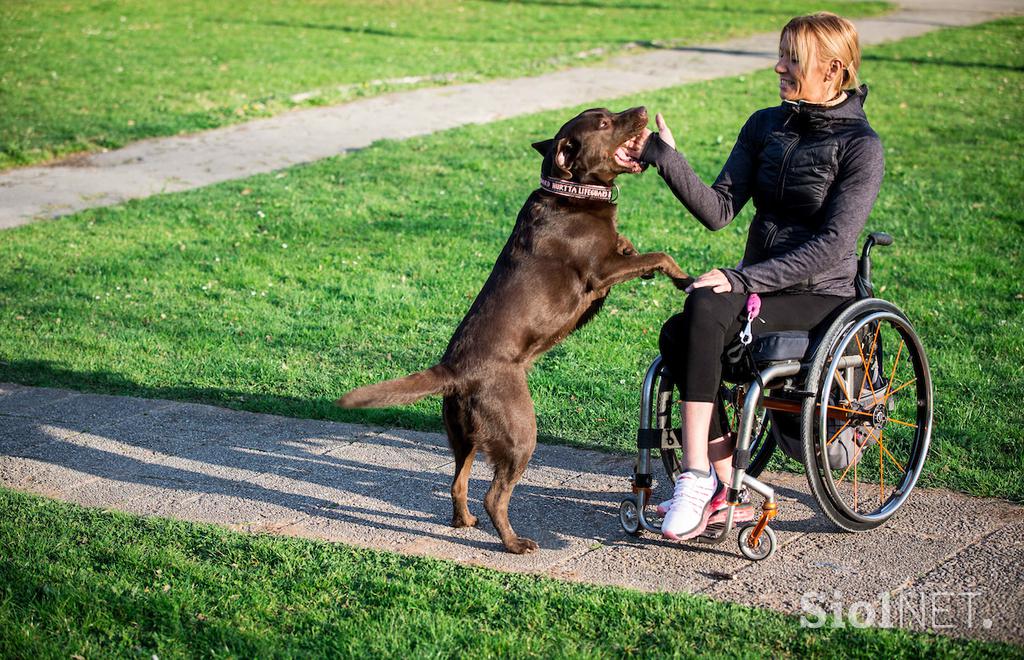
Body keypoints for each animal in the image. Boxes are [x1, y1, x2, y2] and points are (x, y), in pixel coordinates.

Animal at [339, 106, 692, 552]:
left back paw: (464, 522)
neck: (573, 191)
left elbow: (633, 247)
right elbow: (659, 255)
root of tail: (454, 371)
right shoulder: (601, 271)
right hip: (520, 432)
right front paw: (684, 279)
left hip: (464, 437)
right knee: (494, 495)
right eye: (604, 123)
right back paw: (514, 544)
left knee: (458, 482)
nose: (643, 110)